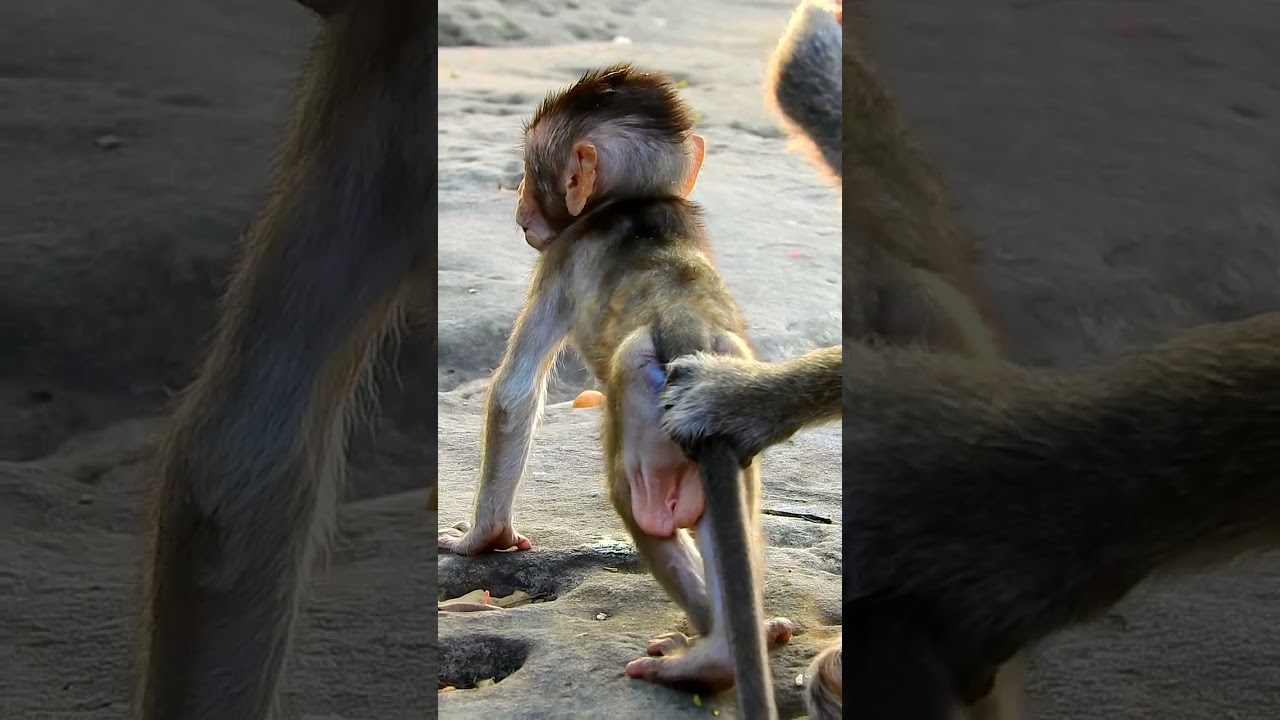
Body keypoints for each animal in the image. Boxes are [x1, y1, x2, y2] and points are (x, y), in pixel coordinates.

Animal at [436, 65, 793, 718]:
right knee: (733, 515)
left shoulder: (558, 257)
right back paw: (749, 635)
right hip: (727, 414)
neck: (634, 203)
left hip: (648, 415)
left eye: (530, 173)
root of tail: (684, 327)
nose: (519, 207)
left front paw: (481, 540)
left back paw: (713, 657)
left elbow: (514, 392)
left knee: (639, 504)